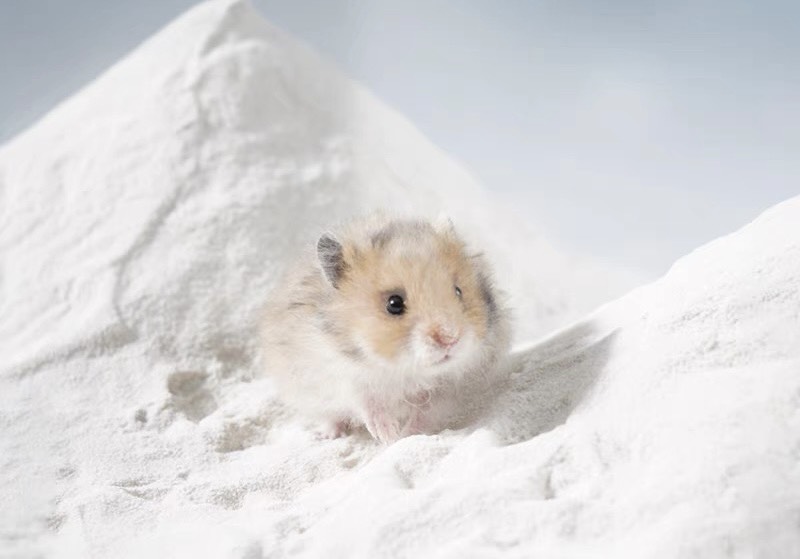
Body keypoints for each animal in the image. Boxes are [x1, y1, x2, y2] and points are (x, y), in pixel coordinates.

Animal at [260, 214, 511, 443]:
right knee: (330, 416)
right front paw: (387, 435)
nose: (450, 338)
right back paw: (327, 435)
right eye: (394, 303)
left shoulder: (451, 386)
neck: (402, 371)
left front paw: (404, 437)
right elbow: (368, 403)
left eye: (458, 291)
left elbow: (425, 411)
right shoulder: (342, 376)